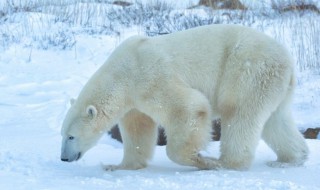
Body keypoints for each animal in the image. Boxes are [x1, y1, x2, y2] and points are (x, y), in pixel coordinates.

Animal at [60, 24, 308, 171]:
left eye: (71, 137)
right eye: (62, 134)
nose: (64, 158)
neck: (122, 71)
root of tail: (288, 59)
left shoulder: (149, 76)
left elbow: (189, 107)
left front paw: (201, 160)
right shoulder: (133, 100)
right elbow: (138, 129)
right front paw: (118, 166)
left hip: (248, 69)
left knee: (239, 112)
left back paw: (226, 162)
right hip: (272, 82)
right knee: (276, 119)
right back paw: (289, 159)